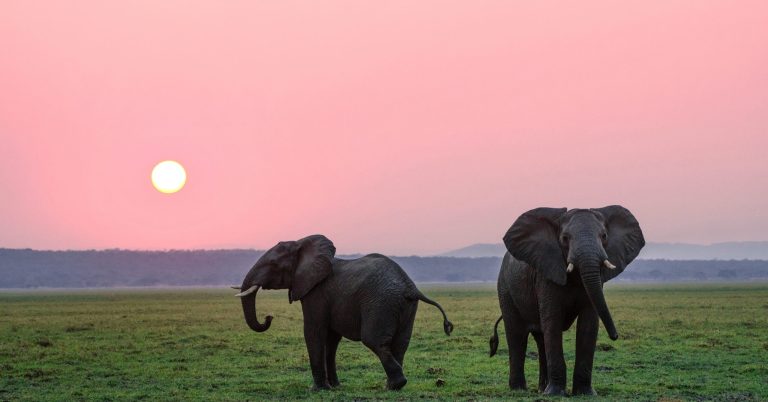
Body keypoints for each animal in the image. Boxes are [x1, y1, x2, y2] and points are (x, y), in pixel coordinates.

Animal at [235, 234, 454, 391]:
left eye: (273, 265)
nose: (268, 317)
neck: (301, 244)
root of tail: (410, 286)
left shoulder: (316, 292)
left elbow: (314, 331)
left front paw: (318, 389)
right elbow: (331, 340)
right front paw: (335, 386)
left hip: (381, 303)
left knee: (374, 340)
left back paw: (394, 385)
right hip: (405, 306)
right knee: (400, 344)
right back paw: (392, 387)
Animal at [489, 206, 644, 396]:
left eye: (604, 236)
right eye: (564, 238)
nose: (615, 336)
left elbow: (589, 323)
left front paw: (585, 393)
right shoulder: (546, 273)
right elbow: (553, 321)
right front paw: (555, 394)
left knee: (540, 339)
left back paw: (541, 389)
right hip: (505, 289)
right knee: (517, 335)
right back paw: (519, 390)